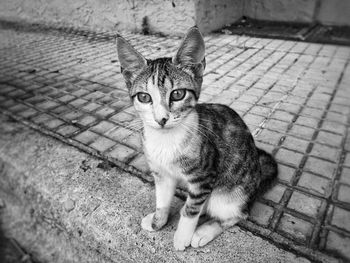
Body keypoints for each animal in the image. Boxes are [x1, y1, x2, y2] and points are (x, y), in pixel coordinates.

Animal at [116, 26, 278, 252]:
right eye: (144, 97)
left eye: (178, 94)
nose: (161, 119)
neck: (166, 140)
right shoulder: (161, 173)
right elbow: (162, 199)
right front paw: (158, 220)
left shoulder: (205, 177)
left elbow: (191, 209)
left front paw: (182, 236)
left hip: (228, 194)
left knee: (238, 214)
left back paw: (204, 231)